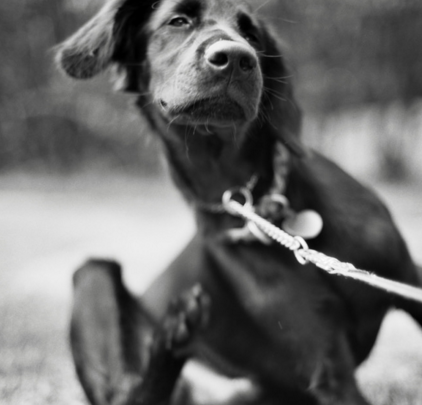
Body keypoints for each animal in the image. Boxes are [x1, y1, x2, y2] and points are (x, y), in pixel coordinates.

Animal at [56, 0, 422, 404]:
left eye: (252, 35)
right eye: (178, 21)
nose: (235, 57)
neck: (260, 203)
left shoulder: (408, 280)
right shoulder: (326, 364)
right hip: (92, 272)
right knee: (129, 394)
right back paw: (174, 328)